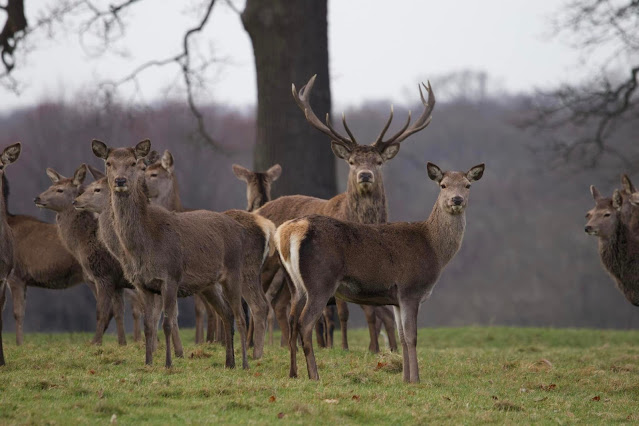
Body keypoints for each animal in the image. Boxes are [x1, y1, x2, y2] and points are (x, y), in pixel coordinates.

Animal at [34, 164, 135, 346]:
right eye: (51, 186)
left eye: (59, 190)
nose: (37, 198)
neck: (82, 243)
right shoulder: (117, 282)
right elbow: (119, 312)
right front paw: (122, 343)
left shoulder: (103, 275)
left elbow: (102, 312)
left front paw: (95, 343)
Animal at [144, 151, 274, 358]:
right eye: (145, 169)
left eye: (154, 174)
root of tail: (266, 227)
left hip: (245, 269)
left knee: (259, 305)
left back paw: (256, 355)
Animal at [256, 75, 436, 352]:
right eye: (351, 162)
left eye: (378, 162)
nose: (365, 175)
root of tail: (257, 209)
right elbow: (344, 312)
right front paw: (344, 348)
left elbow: (373, 312)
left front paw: (375, 348)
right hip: (268, 264)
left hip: (288, 276)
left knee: (278, 304)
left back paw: (285, 345)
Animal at [276, 161, 484, 382]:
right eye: (443, 185)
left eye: (467, 185)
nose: (457, 199)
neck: (434, 249)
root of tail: (288, 231)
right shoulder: (410, 289)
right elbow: (412, 336)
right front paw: (416, 379)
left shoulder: (396, 299)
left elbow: (402, 337)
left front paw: (405, 378)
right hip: (320, 281)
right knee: (304, 323)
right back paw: (314, 375)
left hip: (295, 285)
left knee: (292, 320)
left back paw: (293, 373)